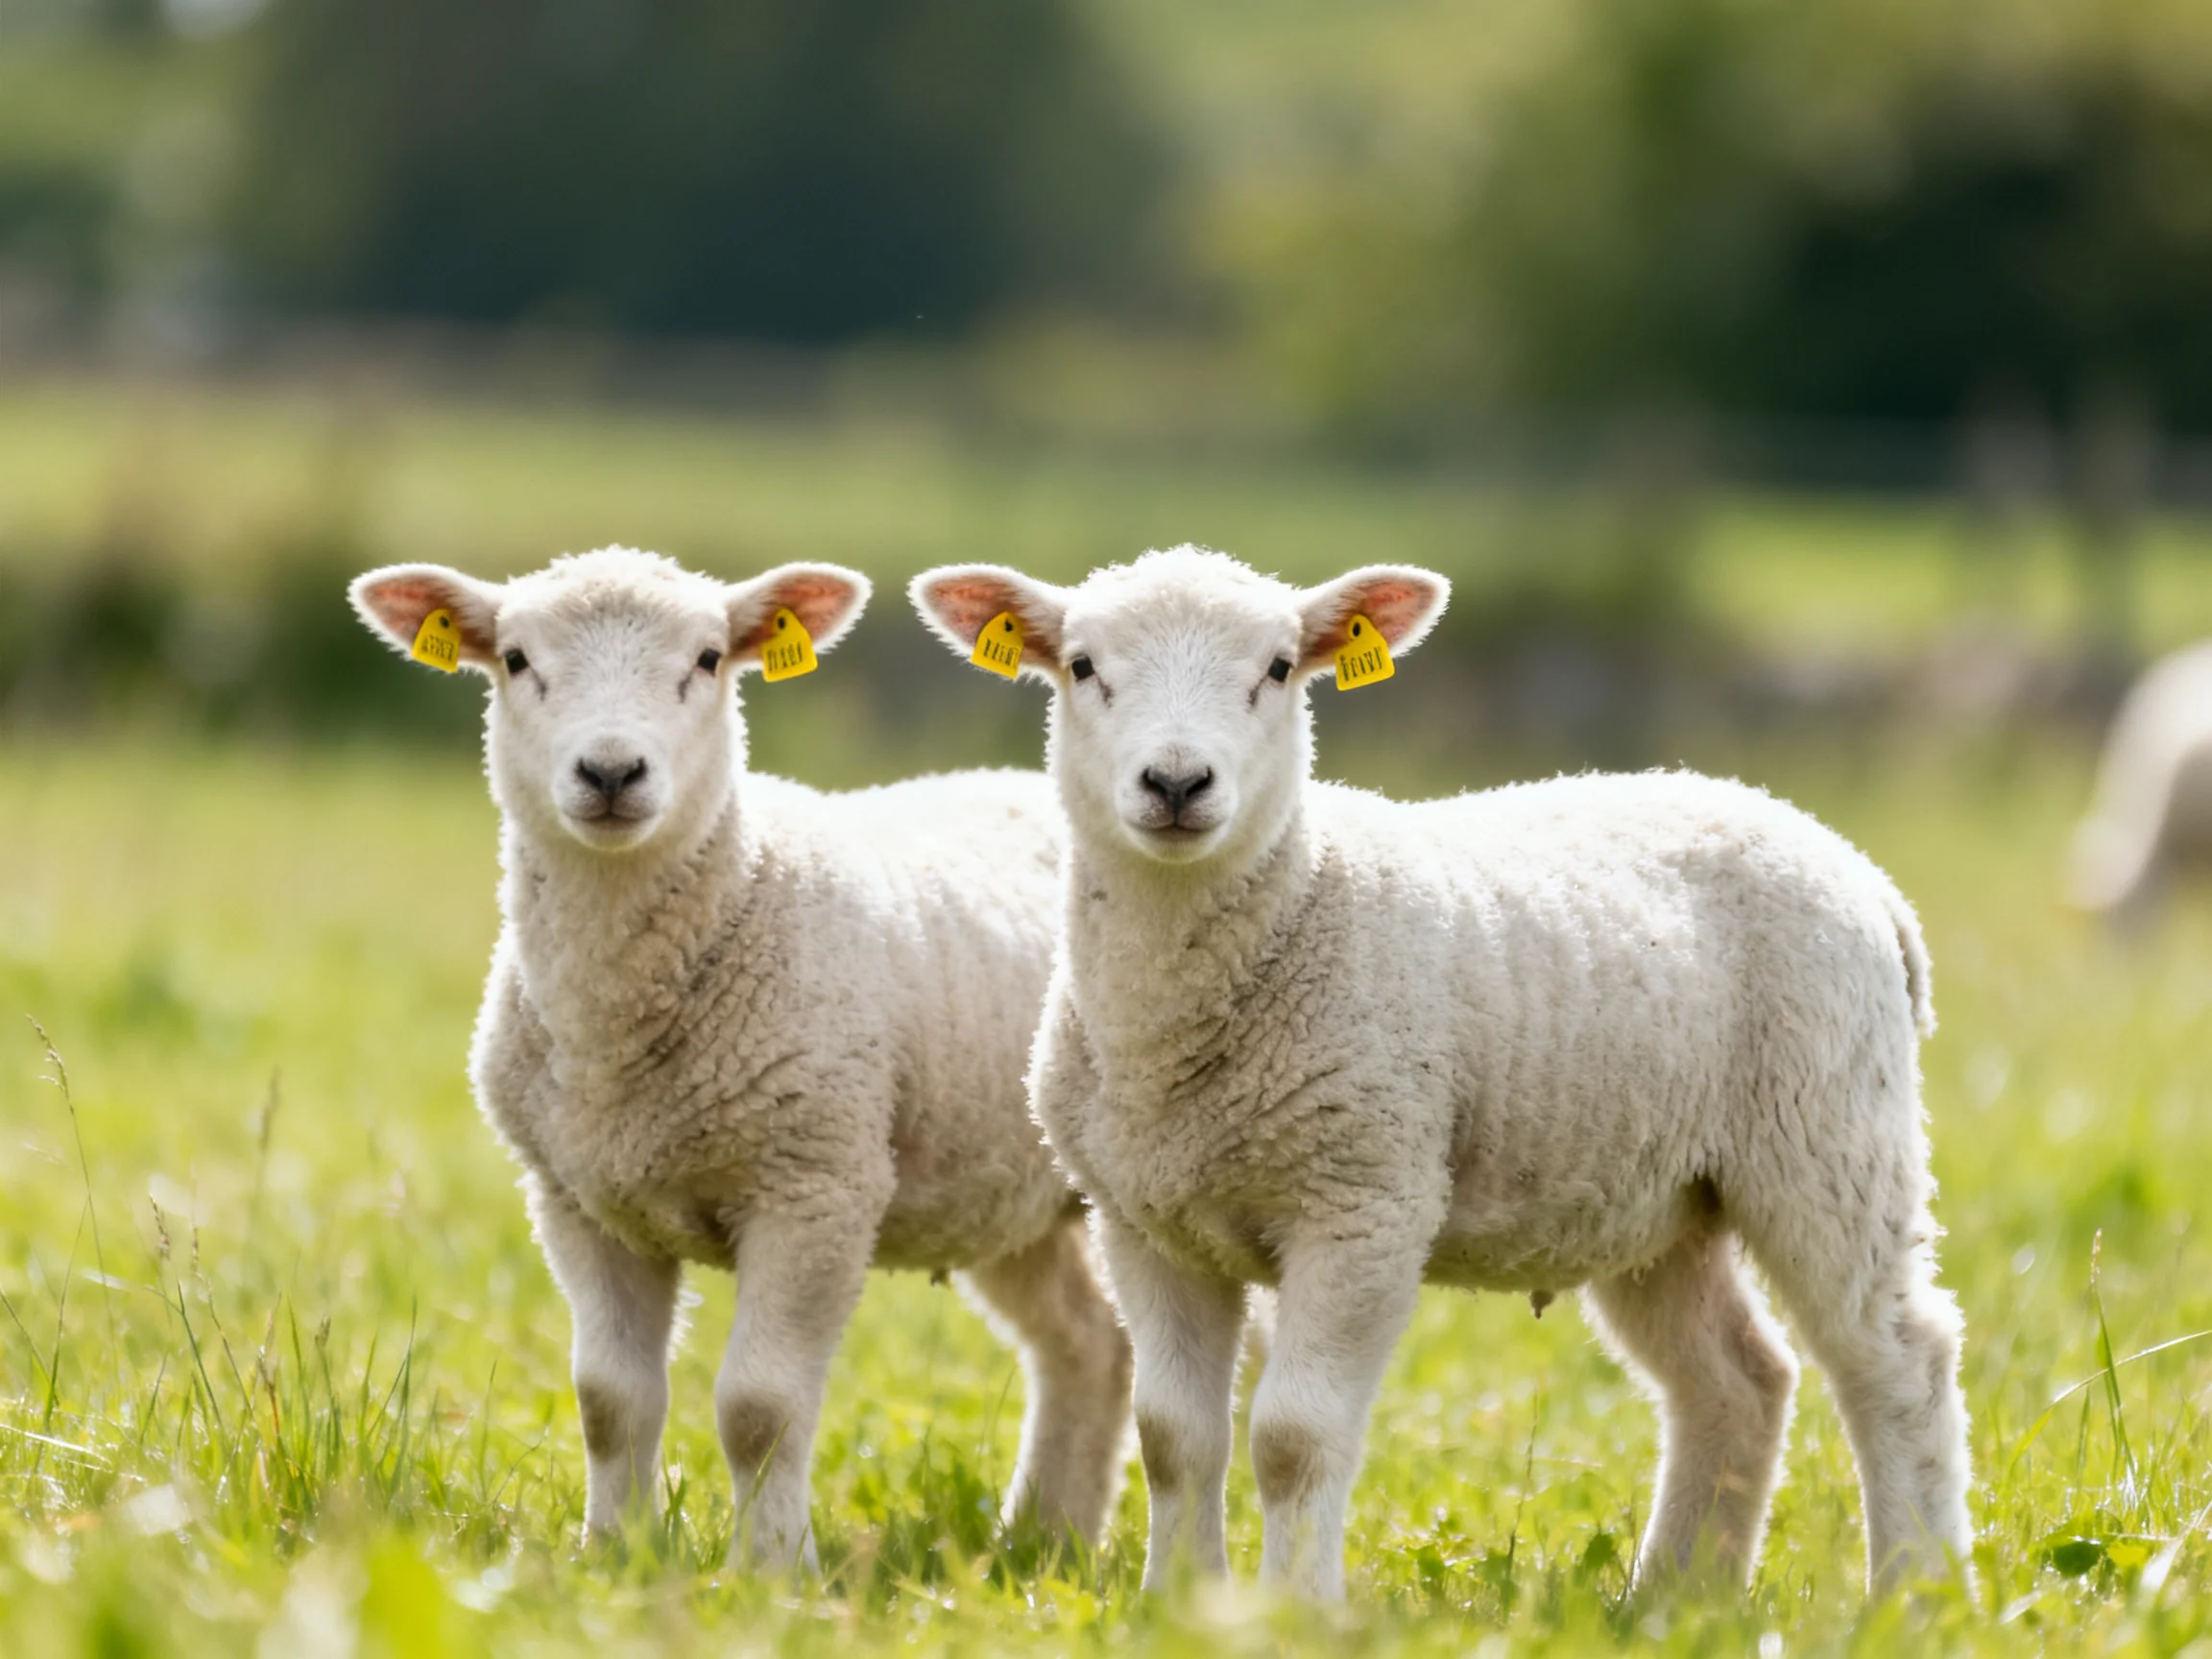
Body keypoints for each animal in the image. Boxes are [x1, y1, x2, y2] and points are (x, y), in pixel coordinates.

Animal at [349, 546, 1130, 1571]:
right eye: (515, 659)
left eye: (709, 658)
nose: (611, 770)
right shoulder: (575, 1199)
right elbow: (610, 1402)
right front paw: (613, 1557)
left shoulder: (816, 1184)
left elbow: (760, 1409)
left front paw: (770, 1573)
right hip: (1010, 1193)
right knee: (1089, 1342)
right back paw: (1046, 1541)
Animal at [911, 544, 1973, 1602]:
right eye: (1083, 666)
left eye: (1280, 669)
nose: (1176, 782)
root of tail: (1860, 871)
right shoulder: (1145, 1222)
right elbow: (1174, 1437)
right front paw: (1182, 1604)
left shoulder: (1365, 1203)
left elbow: (1292, 1439)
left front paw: (1294, 1610)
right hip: (1657, 1197)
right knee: (1740, 1378)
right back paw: (1676, 1600)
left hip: (1827, 1132)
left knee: (1897, 1361)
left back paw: (1915, 1595)